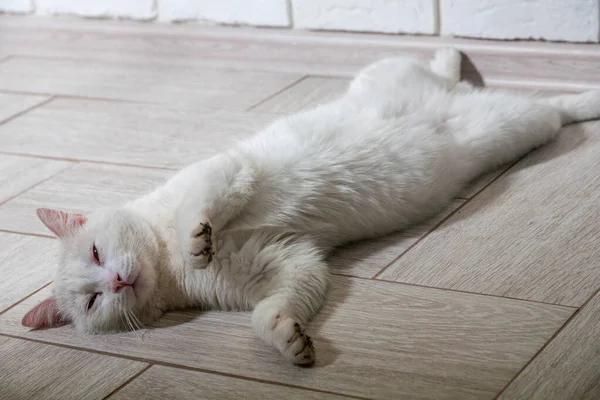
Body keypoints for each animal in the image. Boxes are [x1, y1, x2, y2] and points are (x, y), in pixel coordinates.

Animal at [19, 48, 600, 364]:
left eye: (97, 253)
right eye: (92, 301)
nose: (117, 281)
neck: (162, 262)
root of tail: (454, 101)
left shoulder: (230, 170)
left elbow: (197, 208)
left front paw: (196, 241)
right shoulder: (291, 262)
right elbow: (275, 309)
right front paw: (287, 341)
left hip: (501, 117)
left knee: (530, 97)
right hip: (504, 125)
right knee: (515, 98)